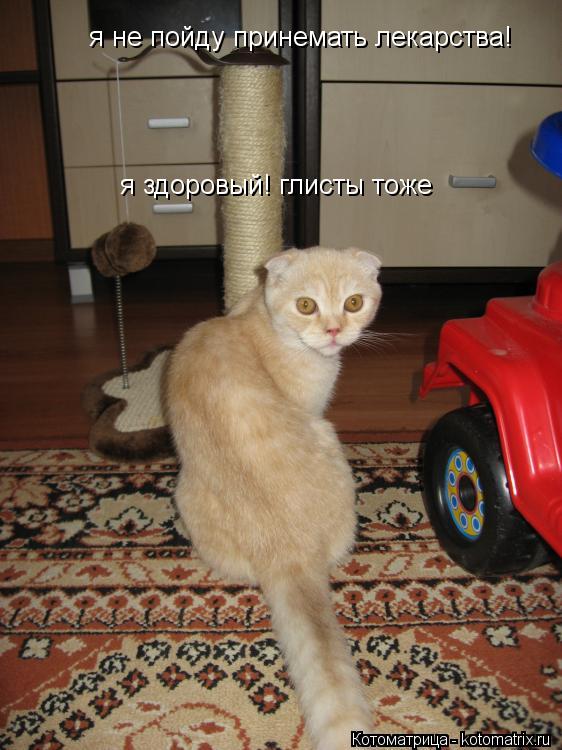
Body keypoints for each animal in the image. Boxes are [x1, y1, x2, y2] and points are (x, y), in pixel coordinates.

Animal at [166, 246, 382, 750]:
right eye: (306, 305)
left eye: (354, 303)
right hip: (325, 437)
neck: (257, 321)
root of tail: (289, 550)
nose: (334, 331)